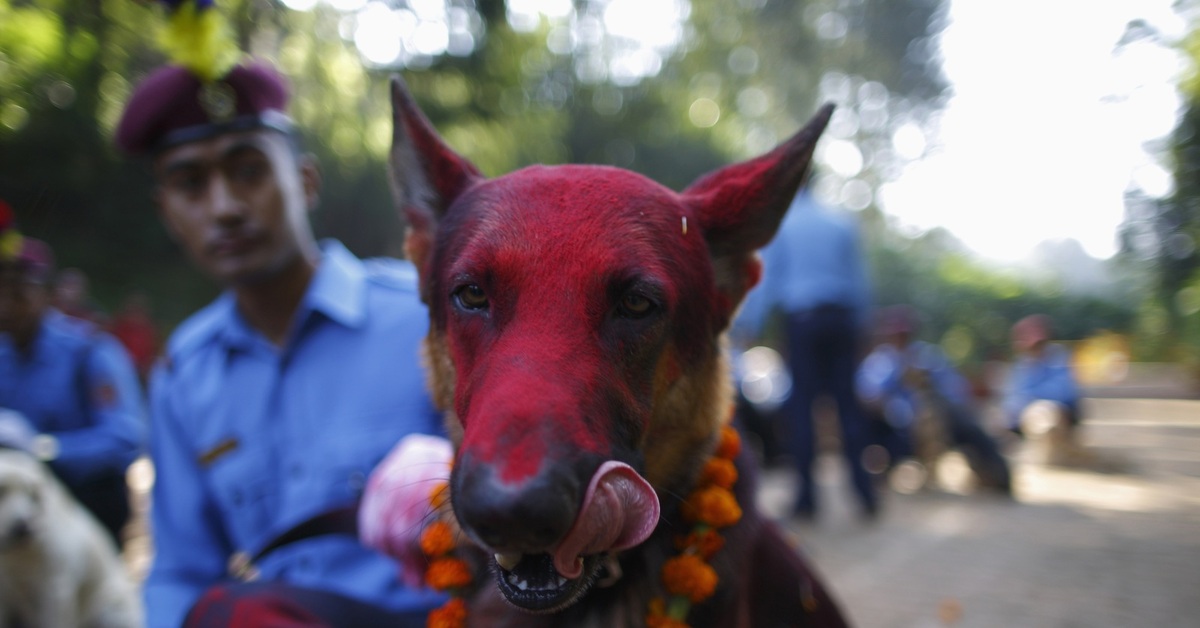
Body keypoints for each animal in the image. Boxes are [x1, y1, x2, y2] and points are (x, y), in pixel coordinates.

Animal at [0, 449, 142, 624]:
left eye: (31, 494)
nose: (23, 527)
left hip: (110, 612)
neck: (13, 557)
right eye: (1, 491)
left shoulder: (55, 590)